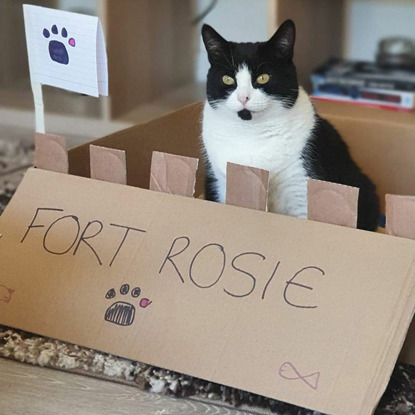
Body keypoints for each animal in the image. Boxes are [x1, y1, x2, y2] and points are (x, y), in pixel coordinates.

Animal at [202, 20, 380, 231]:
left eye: (263, 77)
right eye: (227, 79)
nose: (243, 97)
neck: (251, 132)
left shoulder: (301, 186)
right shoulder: (221, 183)